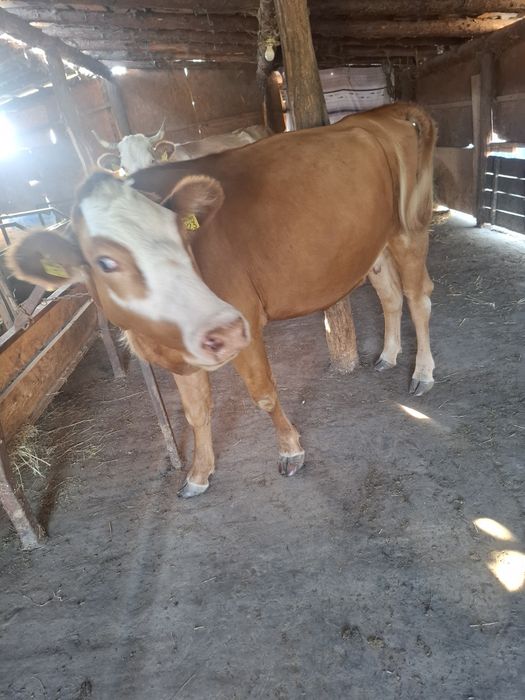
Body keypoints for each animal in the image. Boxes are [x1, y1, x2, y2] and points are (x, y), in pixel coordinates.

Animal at [8, 103, 437, 499]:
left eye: (182, 234)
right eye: (105, 262)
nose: (221, 328)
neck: (155, 338)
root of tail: (380, 113)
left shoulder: (243, 320)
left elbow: (263, 394)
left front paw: (290, 450)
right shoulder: (178, 356)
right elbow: (196, 413)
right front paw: (198, 474)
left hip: (409, 227)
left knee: (418, 298)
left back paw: (422, 372)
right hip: (372, 242)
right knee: (390, 295)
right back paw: (388, 355)